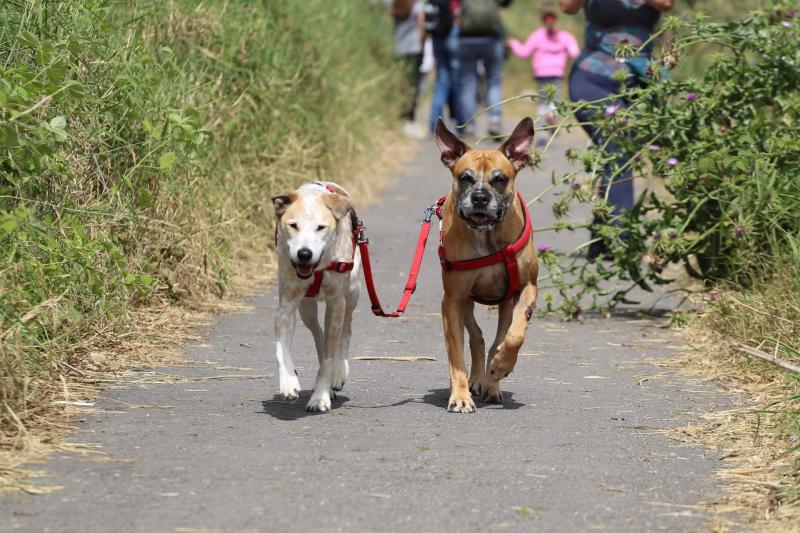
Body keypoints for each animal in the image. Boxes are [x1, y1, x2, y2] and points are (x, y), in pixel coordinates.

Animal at [272, 183, 360, 412]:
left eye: (321, 227)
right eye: (293, 225)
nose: (304, 254)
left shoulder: (336, 301)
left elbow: (330, 355)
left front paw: (320, 396)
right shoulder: (287, 303)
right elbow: (281, 348)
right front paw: (288, 381)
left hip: (352, 291)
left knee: (346, 329)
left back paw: (338, 372)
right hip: (306, 307)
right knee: (318, 333)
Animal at [434, 118, 540, 414]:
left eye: (500, 179)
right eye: (465, 177)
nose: (480, 198)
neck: (487, 236)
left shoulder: (526, 288)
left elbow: (514, 336)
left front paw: (501, 366)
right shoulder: (453, 300)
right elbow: (456, 353)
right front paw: (460, 395)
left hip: (505, 301)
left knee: (496, 338)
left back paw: (492, 382)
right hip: (465, 302)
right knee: (477, 338)